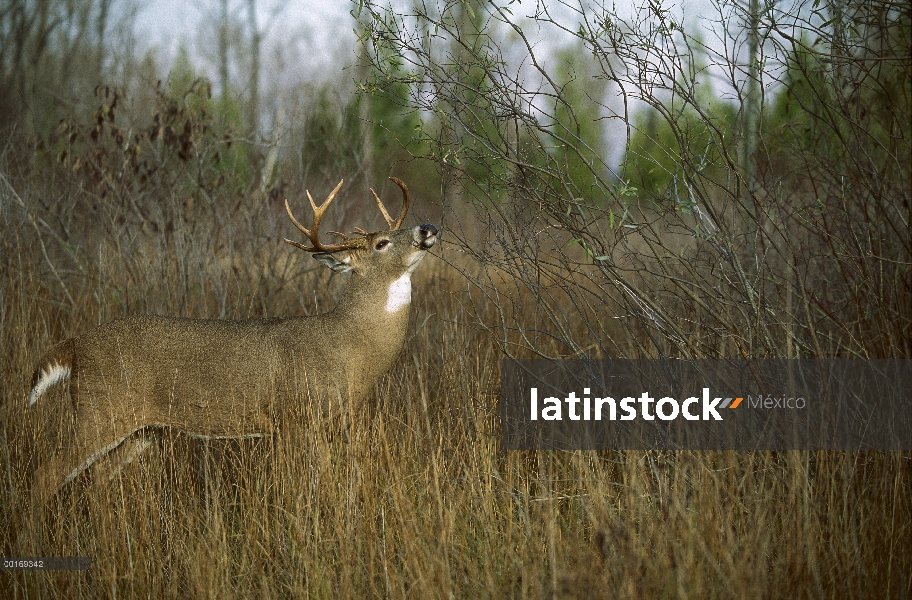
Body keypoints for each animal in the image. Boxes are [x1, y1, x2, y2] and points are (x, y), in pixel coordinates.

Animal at [26, 176, 440, 508]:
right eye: (381, 243)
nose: (428, 227)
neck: (351, 345)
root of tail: (76, 345)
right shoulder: (294, 414)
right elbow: (315, 485)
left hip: (143, 428)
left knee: (96, 476)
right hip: (98, 409)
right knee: (46, 476)